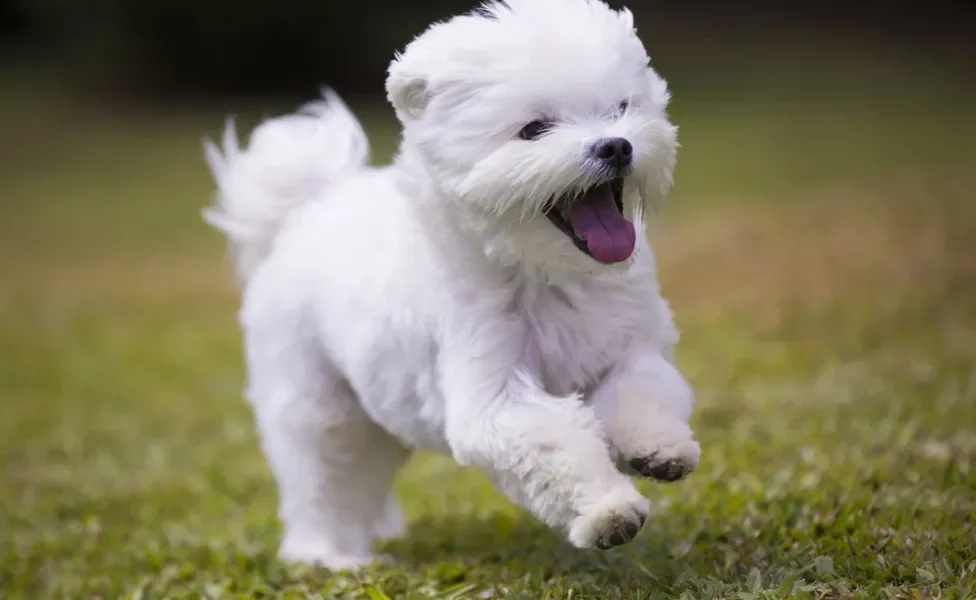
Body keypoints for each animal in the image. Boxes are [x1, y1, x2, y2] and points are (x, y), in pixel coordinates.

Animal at [202, 0, 696, 572]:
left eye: (621, 107)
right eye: (535, 129)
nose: (616, 146)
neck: (546, 273)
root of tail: (305, 211)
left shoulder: (628, 347)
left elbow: (644, 392)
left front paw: (660, 450)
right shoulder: (493, 394)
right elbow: (556, 446)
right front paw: (608, 512)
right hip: (318, 406)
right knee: (323, 481)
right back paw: (330, 556)